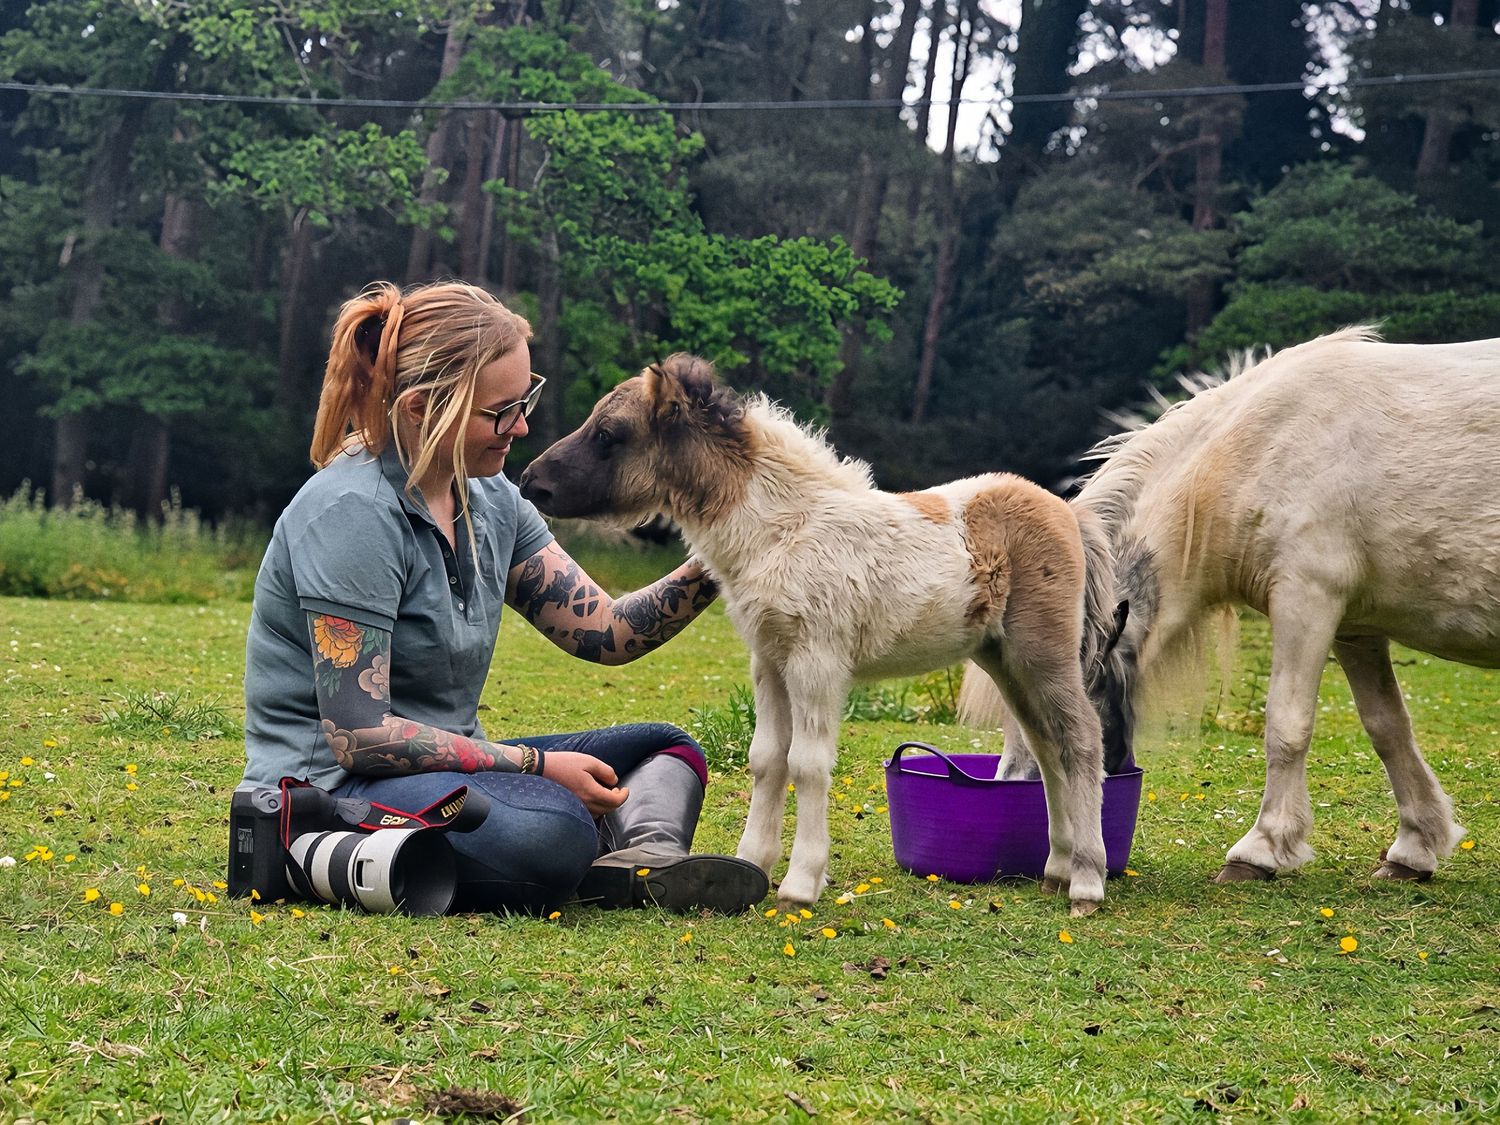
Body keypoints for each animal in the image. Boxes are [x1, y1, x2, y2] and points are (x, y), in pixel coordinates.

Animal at [518, 355, 1117, 914]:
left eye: (609, 434)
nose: (530, 482)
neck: (783, 530)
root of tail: (1067, 511)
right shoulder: (769, 660)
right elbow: (767, 758)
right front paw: (751, 864)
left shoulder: (816, 660)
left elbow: (806, 764)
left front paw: (800, 884)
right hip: (1004, 659)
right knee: (1047, 748)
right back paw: (1056, 869)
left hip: (1042, 652)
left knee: (1082, 740)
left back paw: (1087, 882)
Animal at [961, 327, 1500, 884]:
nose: (1020, 794)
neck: (1262, 449)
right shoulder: (1356, 628)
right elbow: (1388, 727)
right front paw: (1413, 850)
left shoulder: (1308, 600)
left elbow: (1286, 726)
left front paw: (1259, 851)